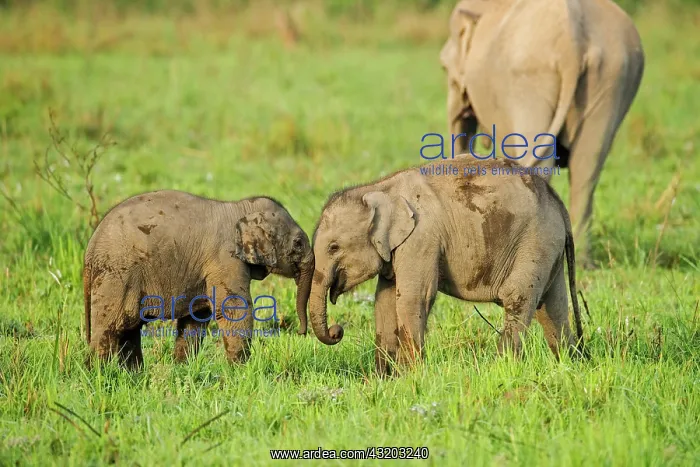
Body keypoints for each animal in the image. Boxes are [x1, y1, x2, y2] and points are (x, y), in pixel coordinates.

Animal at [83, 190, 314, 369]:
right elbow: (234, 309)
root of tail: (90, 247)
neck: (241, 208)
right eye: (298, 243)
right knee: (110, 327)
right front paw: (240, 371)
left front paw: (182, 370)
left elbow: (196, 318)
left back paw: (134, 376)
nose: (301, 332)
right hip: (116, 275)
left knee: (129, 330)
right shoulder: (225, 259)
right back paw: (100, 374)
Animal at [308, 156, 585, 375]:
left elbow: (413, 297)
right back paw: (570, 364)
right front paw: (383, 380)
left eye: (334, 247)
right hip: (549, 247)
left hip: (536, 239)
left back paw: (501, 368)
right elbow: (384, 300)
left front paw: (412, 377)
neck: (379, 188)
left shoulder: (421, 239)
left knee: (519, 296)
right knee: (552, 306)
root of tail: (557, 201)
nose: (337, 331)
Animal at [439, 0, 645, 268]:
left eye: (444, 68)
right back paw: (583, 263)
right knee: (587, 167)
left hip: (529, 79)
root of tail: (572, 40)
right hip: (612, 78)